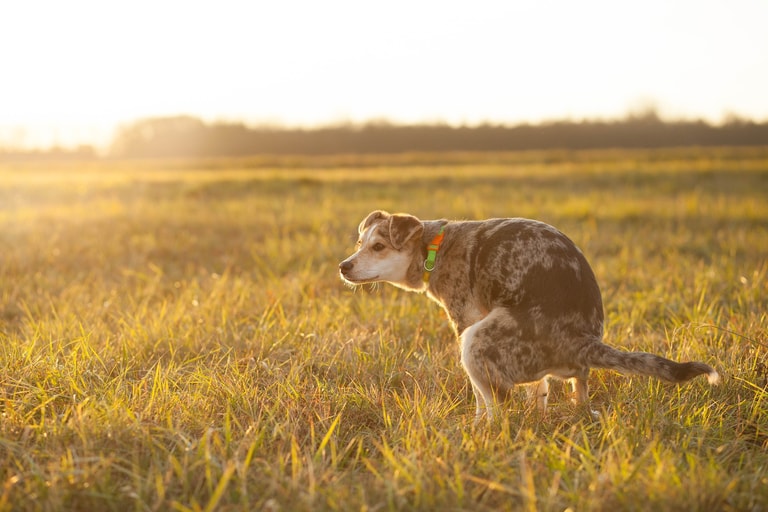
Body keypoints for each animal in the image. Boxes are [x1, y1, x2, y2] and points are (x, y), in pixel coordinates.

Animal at [340, 211, 716, 420]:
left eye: (378, 247)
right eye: (359, 243)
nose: (343, 266)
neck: (434, 247)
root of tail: (583, 341)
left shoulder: (465, 321)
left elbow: (480, 399)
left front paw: (476, 425)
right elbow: (539, 390)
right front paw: (538, 413)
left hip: (476, 341)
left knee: (499, 407)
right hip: (565, 370)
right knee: (578, 390)